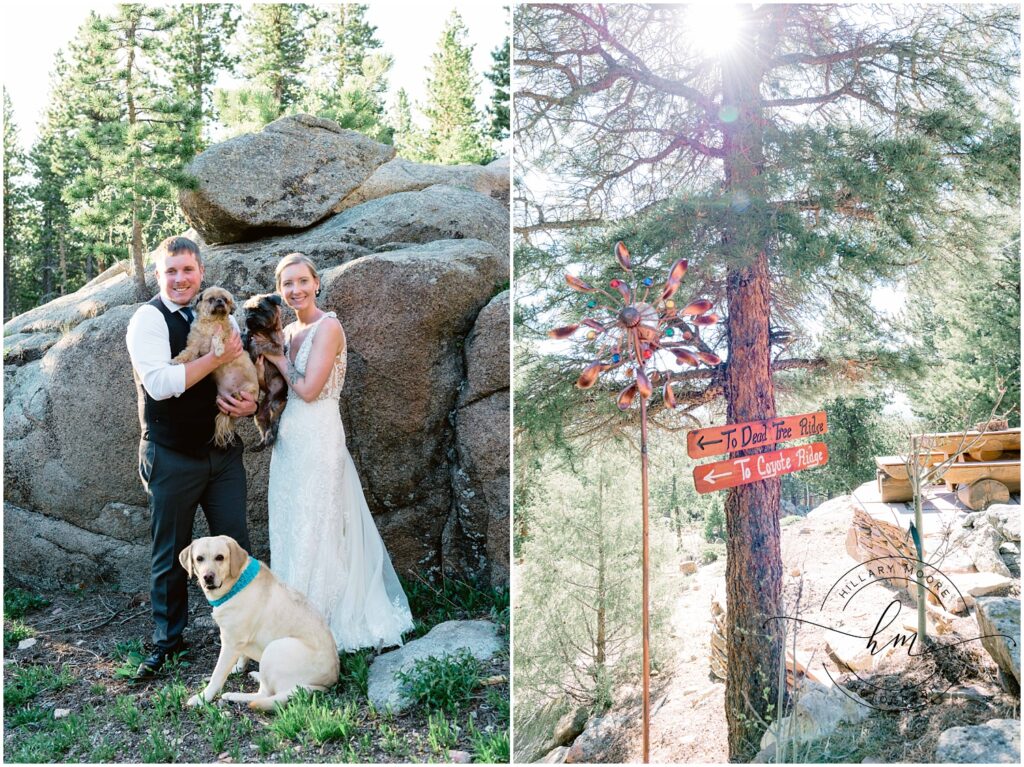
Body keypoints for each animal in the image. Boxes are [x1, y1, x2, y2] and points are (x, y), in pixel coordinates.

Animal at [172, 284, 260, 446]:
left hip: (249, 390)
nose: (220, 301)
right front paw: (177, 360)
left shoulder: (225, 333)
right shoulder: (194, 345)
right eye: (211, 299)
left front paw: (218, 350)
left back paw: (238, 395)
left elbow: (217, 337)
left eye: (224, 299)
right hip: (220, 399)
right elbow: (187, 353)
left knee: (242, 397)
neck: (211, 322)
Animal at [176, 536, 335, 708]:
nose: (208, 577)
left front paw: (203, 697)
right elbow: (242, 657)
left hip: (274, 649)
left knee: (264, 694)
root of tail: (325, 684)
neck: (236, 584)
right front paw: (238, 668)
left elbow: (217, 675)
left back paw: (234, 695)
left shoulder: (230, 642)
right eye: (199, 559)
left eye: (220, 557)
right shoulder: (238, 640)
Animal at [240, 290, 286, 448]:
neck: (262, 330)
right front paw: (244, 336)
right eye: (247, 310)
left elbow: (261, 344)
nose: (248, 319)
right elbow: (246, 335)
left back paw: (270, 437)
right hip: (260, 414)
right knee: (263, 426)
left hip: (276, 406)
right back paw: (261, 444)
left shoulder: (276, 347)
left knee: (273, 424)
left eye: (260, 309)